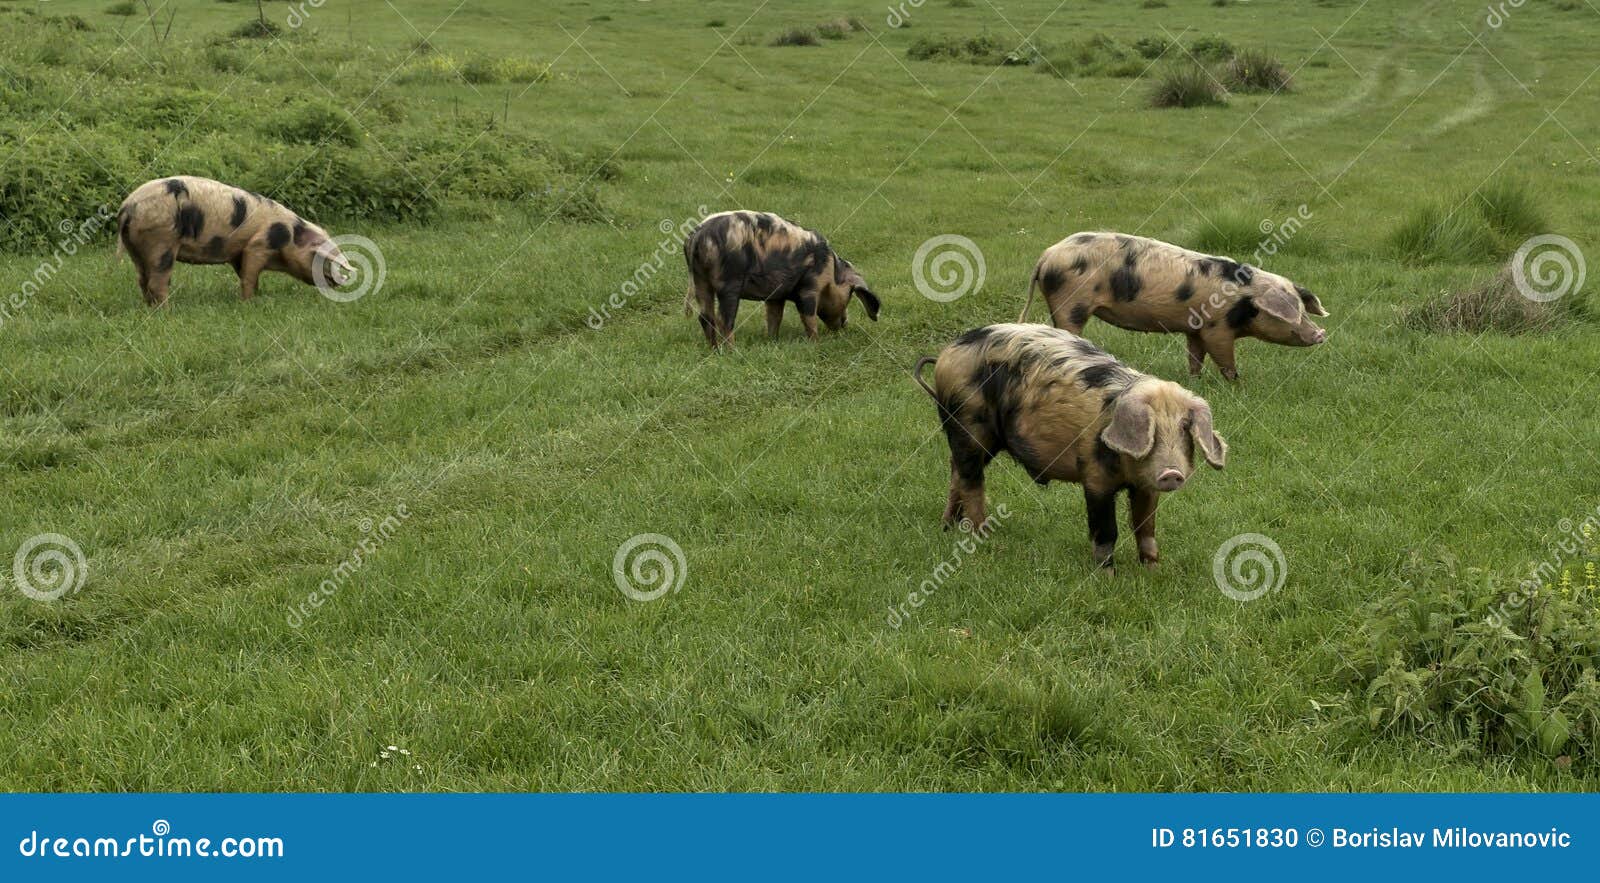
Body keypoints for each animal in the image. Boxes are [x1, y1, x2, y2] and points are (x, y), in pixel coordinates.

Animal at [116, 176, 352, 306]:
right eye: (320, 255)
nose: (341, 280)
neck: (290, 236)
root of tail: (128, 207)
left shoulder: (238, 254)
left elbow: (246, 274)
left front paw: (257, 296)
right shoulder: (258, 245)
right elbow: (250, 276)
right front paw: (249, 302)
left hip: (136, 247)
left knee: (142, 279)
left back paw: (149, 308)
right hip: (161, 241)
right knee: (157, 282)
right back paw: (167, 311)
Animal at [683, 210, 879, 348]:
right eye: (848, 296)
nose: (845, 323)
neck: (831, 272)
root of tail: (698, 235)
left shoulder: (775, 295)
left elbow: (774, 317)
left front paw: (772, 341)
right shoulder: (810, 286)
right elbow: (809, 317)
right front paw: (815, 343)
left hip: (700, 280)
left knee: (705, 317)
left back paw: (714, 350)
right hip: (729, 281)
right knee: (724, 320)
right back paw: (732, 351)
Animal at [912, 323, 1227, 572]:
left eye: (1185, 428)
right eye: (1153, 431)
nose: (1171, 473)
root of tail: (946, 353)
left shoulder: (1145, 485)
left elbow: (1146, 528)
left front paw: (1152, 572)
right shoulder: (1095, 477)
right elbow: (1106, 532)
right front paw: (1107, 578)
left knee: (955, 470)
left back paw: (948, 526)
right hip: (968, 427)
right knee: (971, 480)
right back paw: (982, 536)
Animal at [1017, 232, 1328, 379]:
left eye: (1303, 309)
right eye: (1292, 313)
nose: (1321, 333)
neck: (1245, 300)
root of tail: (1046, 256)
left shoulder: (1196, 330)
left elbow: (1195, 356)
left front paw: (1195, 380)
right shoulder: (1217, 328)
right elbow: (1225, 359)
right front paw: (1238, 384)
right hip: (1071, 303)